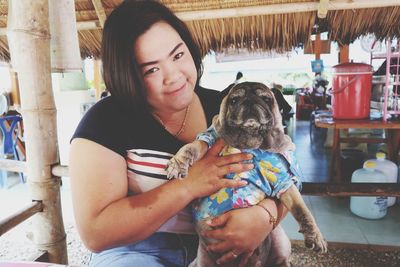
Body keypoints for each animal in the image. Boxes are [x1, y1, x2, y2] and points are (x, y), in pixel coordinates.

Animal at [166, 82, 324, 266]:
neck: (250, 143)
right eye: (234, 100)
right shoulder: (209, 138)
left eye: (266, 99)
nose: (249, 101)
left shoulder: (284, 182)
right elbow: (194, 146)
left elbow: (301, 209)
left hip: (280, 240)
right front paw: (178, 163)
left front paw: (315, 236)